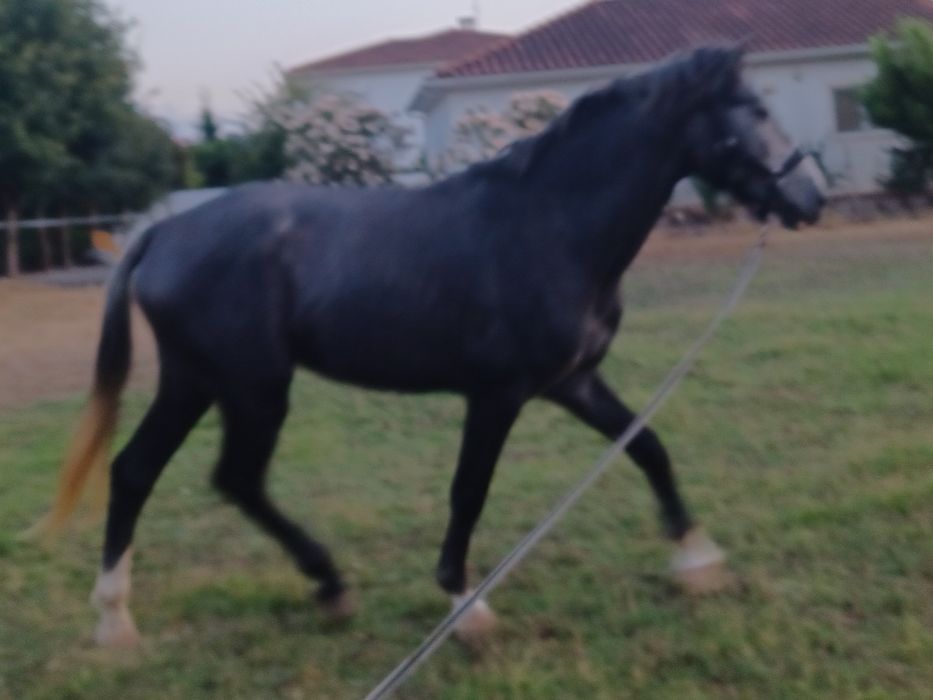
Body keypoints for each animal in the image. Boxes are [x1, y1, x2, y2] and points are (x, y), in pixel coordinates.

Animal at [42, 46, 825, 648]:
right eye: (752, 109)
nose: (811, 198)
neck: (548, 224)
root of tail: (162, 234)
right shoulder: (497, 394)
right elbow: (467, 493)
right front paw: (464, 607)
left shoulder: (572, 381)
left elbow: (648, 447)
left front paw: (698, 561)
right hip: (252, 389)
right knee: (228, 477)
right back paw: (298, 588)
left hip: (197, 382)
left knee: (139, 471)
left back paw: (129, 618)